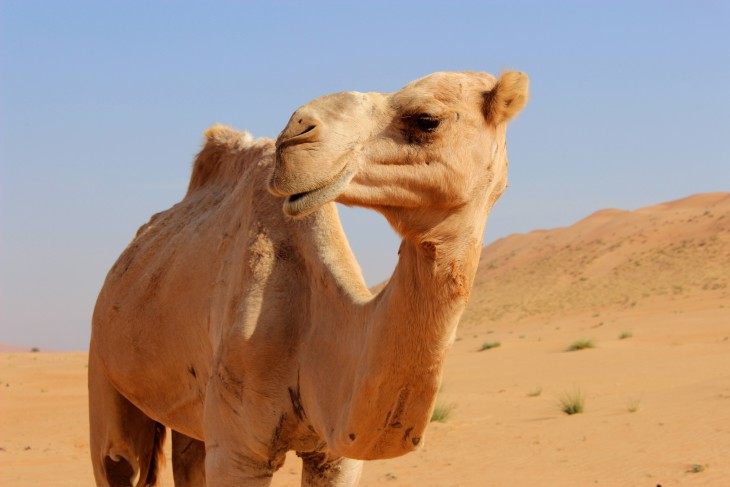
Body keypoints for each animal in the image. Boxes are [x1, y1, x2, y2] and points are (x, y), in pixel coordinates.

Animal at [88, 69, 528, 487]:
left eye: (426, 120)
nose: (294, 134)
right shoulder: (237, 451)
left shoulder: (337, 456)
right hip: (104, 370)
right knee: (116, 458)